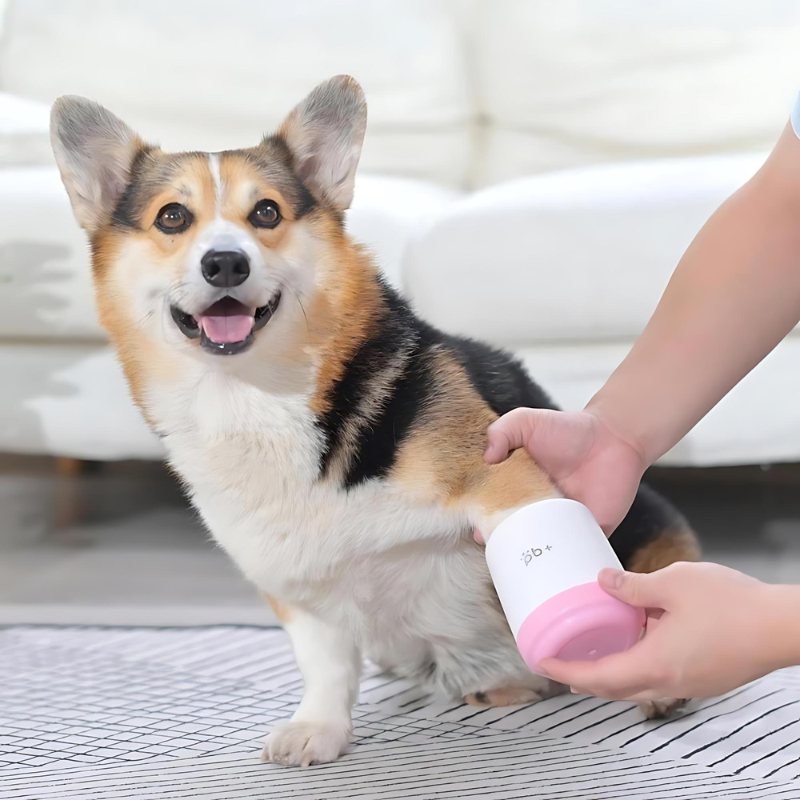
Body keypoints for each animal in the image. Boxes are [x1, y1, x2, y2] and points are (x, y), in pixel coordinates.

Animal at [51, 76, 700, 768]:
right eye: (172, 217)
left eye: (267, 213)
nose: (225, 263)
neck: (253, 397)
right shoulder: (292, 582)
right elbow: (326, 663)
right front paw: (318, 728)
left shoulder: (504, 481)